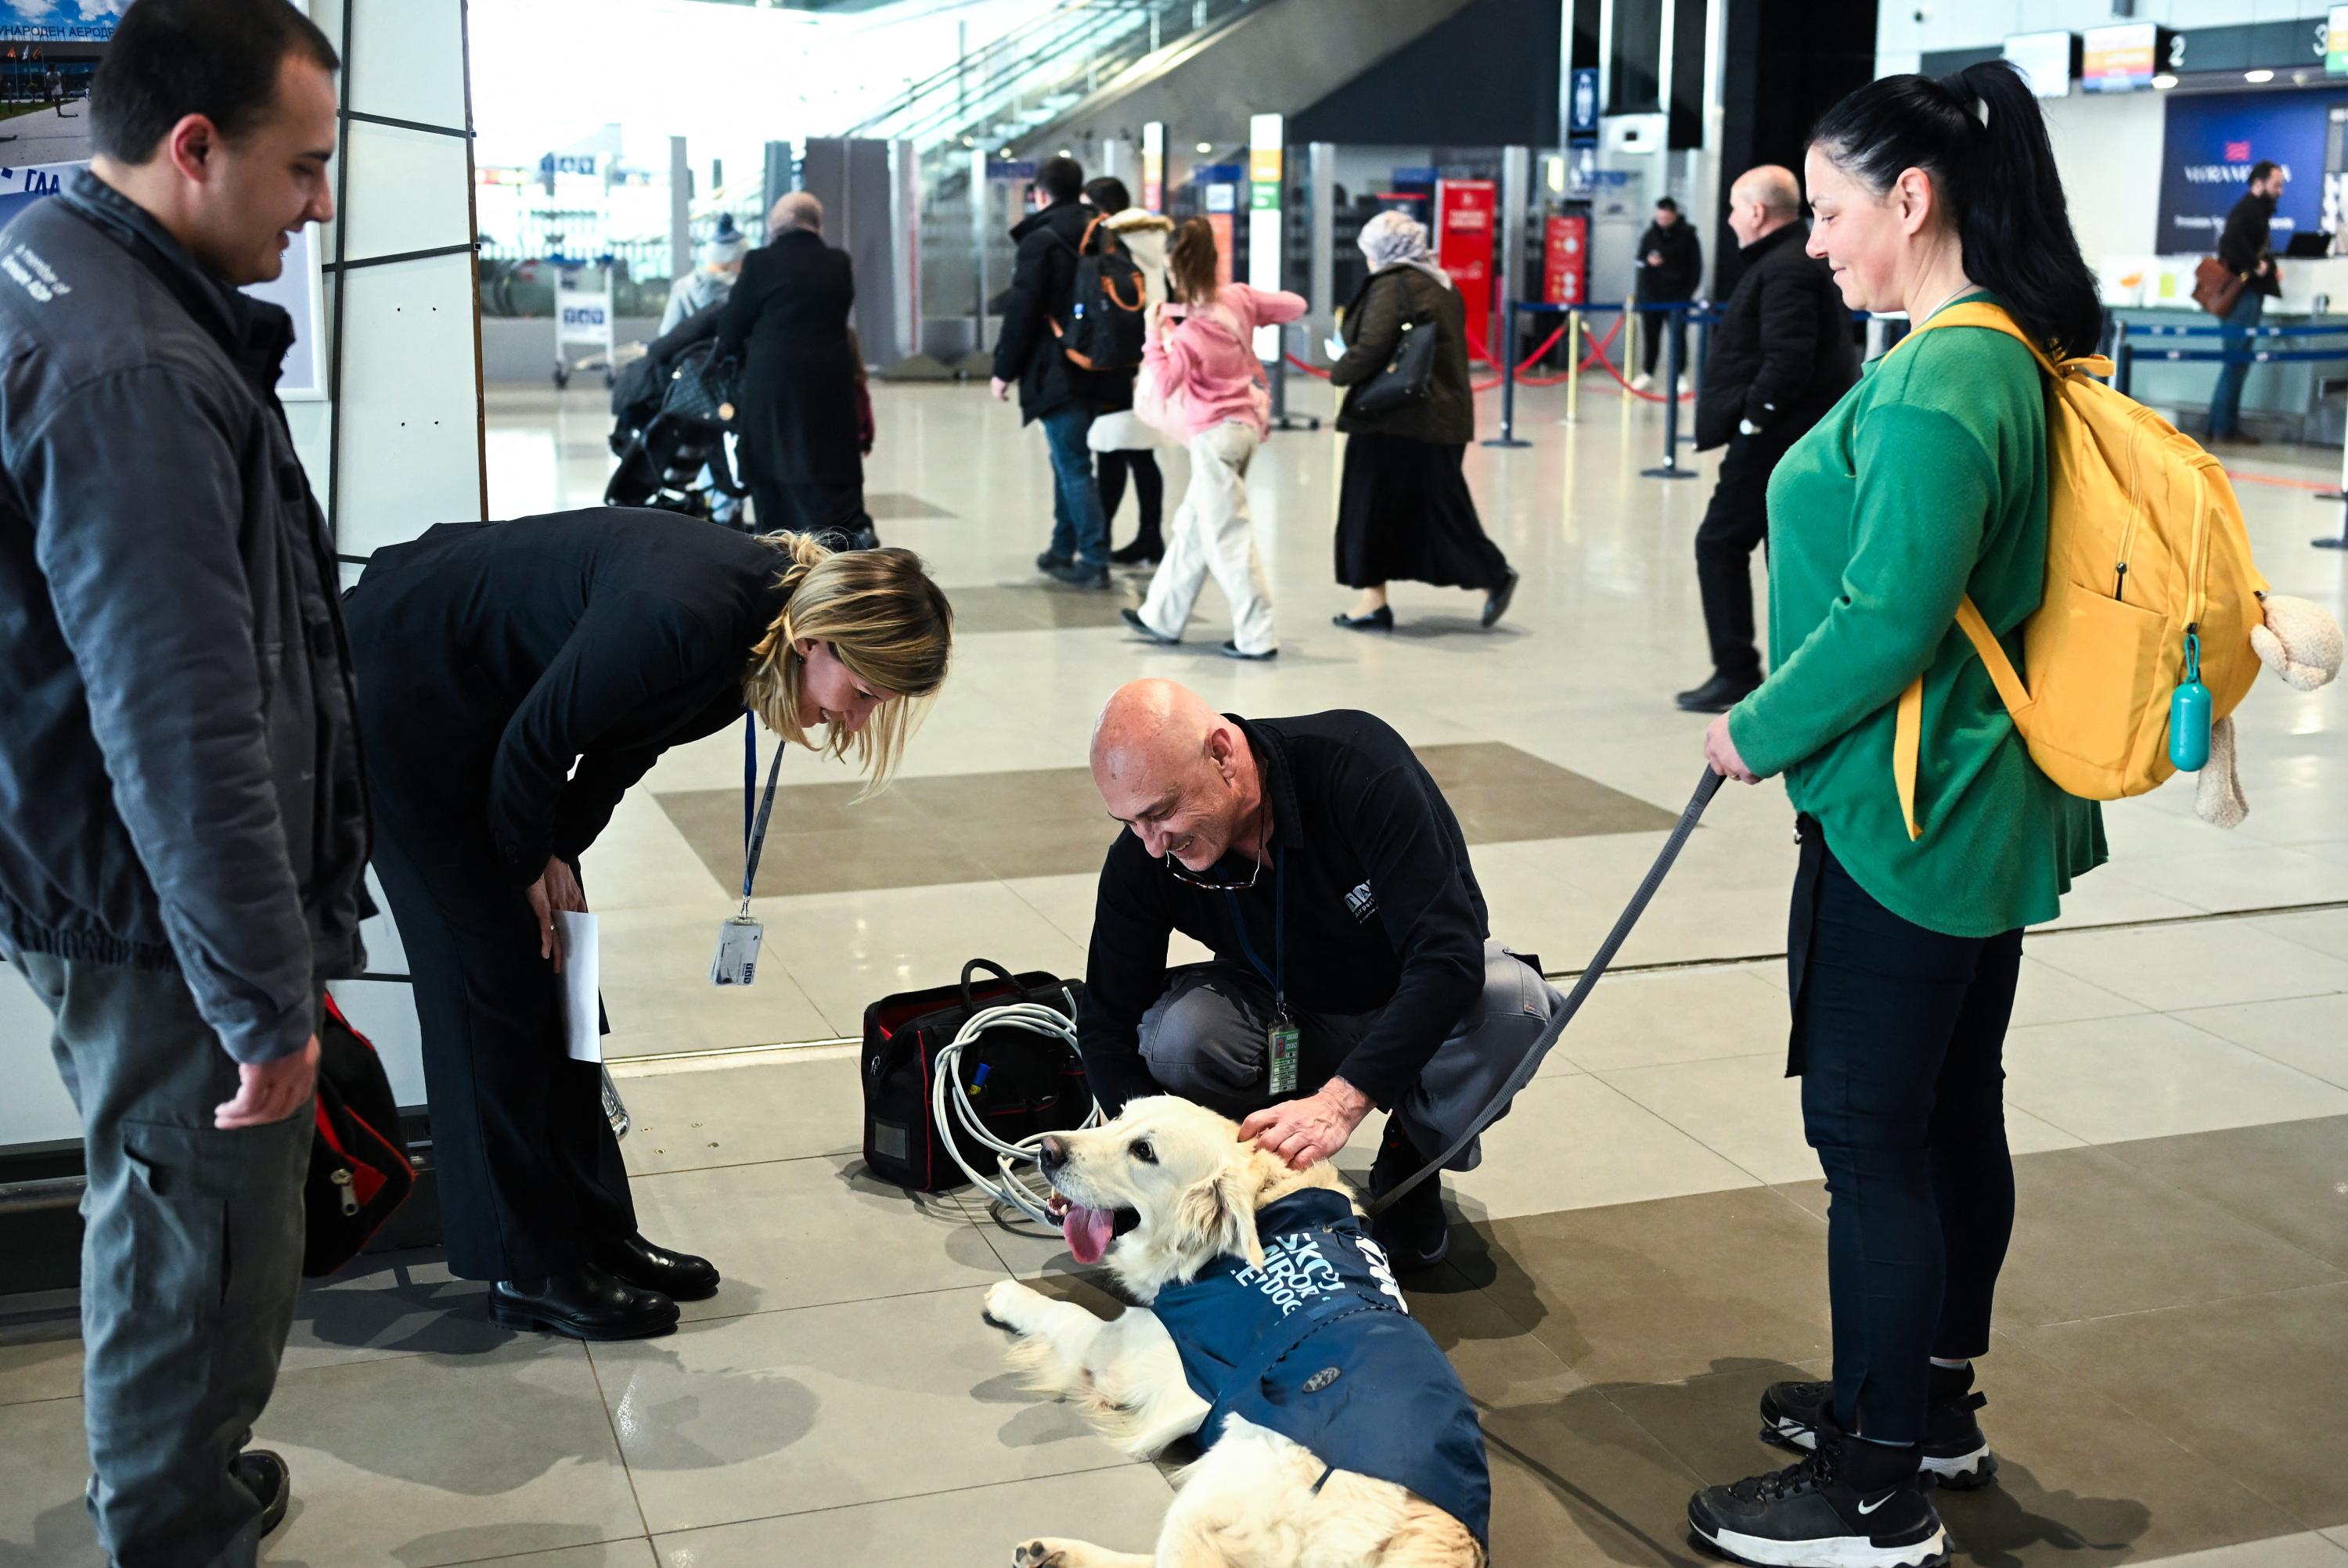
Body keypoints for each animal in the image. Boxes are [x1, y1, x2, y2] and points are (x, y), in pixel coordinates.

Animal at [977, 1099, 1484, 1568]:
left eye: (1144, 1151)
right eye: (1118, 1116)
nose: (1047, 1150)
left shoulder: (1133, 1352)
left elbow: (1069, 1314)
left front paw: (1009, 1296)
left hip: (1217, 1488)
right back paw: (1050, 1553)